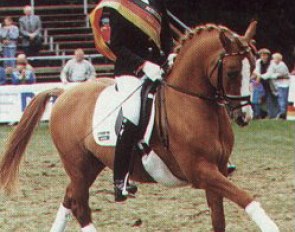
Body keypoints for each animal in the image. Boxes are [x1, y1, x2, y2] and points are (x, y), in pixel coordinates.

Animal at [0, 21, 280, 230]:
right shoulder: (201, 171)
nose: (244, 115)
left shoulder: (218, 170)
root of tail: (64, 93)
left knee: (69, 199)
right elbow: (246, 197)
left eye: (253, 66)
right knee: (80, 205)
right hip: (77, 164)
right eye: (232, 71)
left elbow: (218, 218)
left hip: (91, 164)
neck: (193, 103)